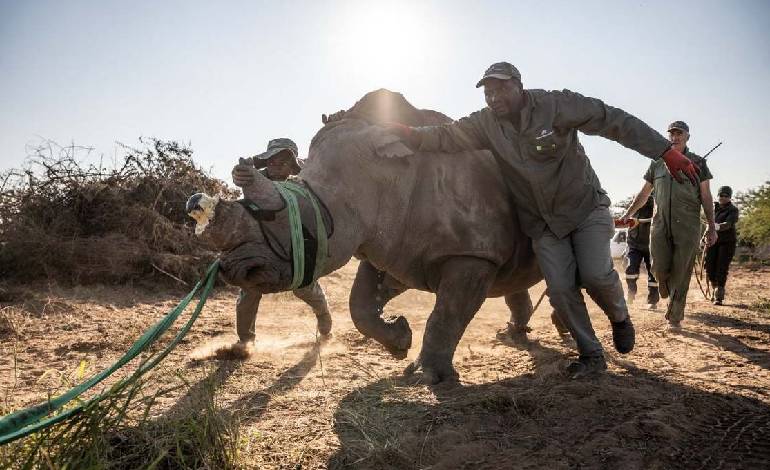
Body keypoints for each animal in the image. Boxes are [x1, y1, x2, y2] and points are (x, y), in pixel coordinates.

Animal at [187, 89, 546, 384]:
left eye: (293, 218)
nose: (234, 270)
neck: (385, 174)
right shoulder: (393, 242)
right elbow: (359, 305)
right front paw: (400, 340)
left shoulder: (470, 253)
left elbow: (447, 315)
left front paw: (426, 376)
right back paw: (513, 335)